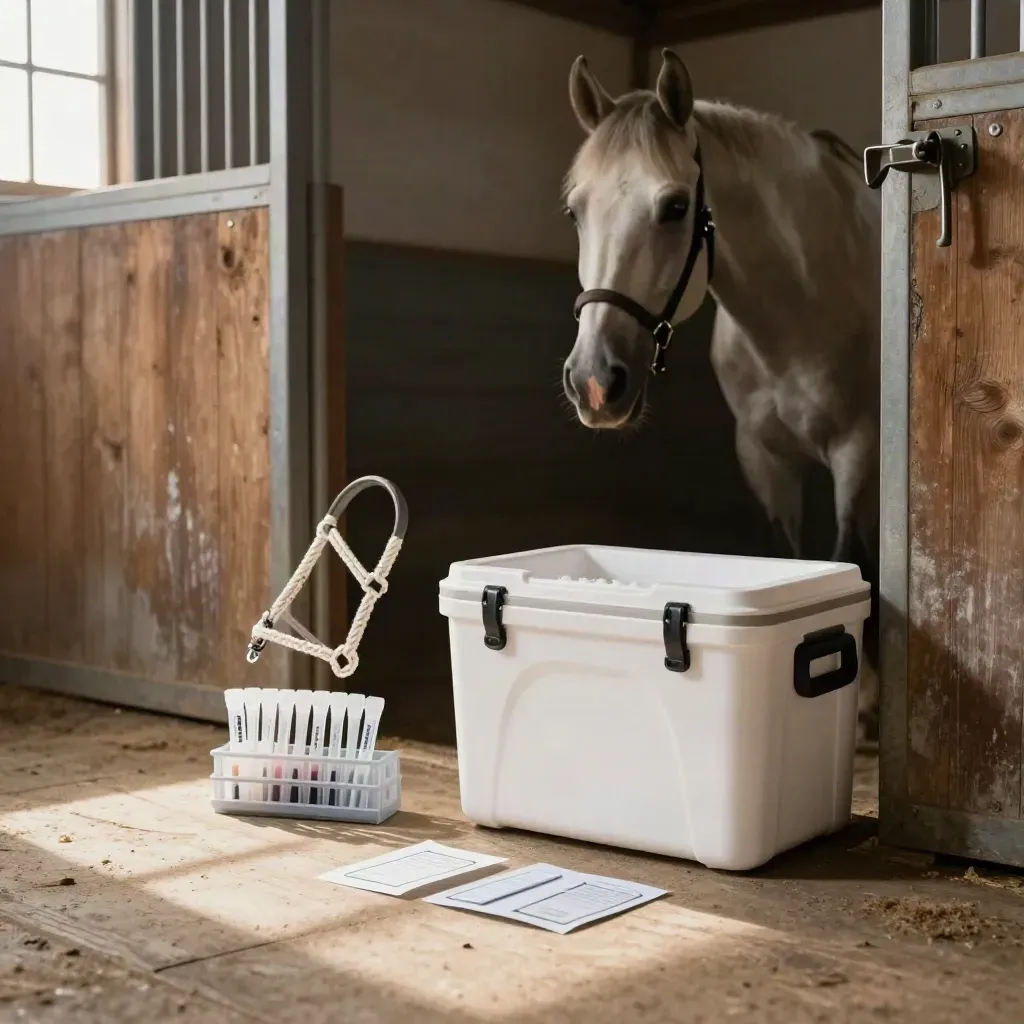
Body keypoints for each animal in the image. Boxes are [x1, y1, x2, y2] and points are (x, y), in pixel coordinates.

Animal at [561, 49, 880, 740]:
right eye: (575, 210)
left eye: (677, 206)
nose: (595, 380)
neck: (801, 305)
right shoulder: (762, 458)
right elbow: (792, 558)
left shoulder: (857, 451)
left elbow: (849, 556)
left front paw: (865, 700)